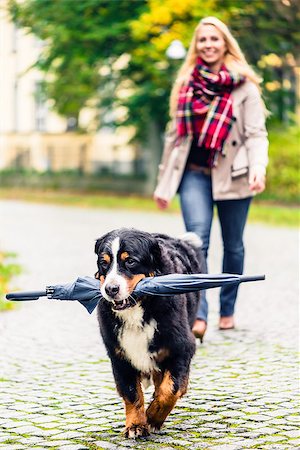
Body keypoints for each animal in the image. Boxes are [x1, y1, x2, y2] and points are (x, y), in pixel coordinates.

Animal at [95, 227, 205, 438]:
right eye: (104, 263)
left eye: (130, 261)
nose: (111, 289)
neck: (138, 308)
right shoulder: (119, 355)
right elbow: (132, 393)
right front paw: (136, 425)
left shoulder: (182, 348)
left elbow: (170, 390)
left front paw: (153, 417)